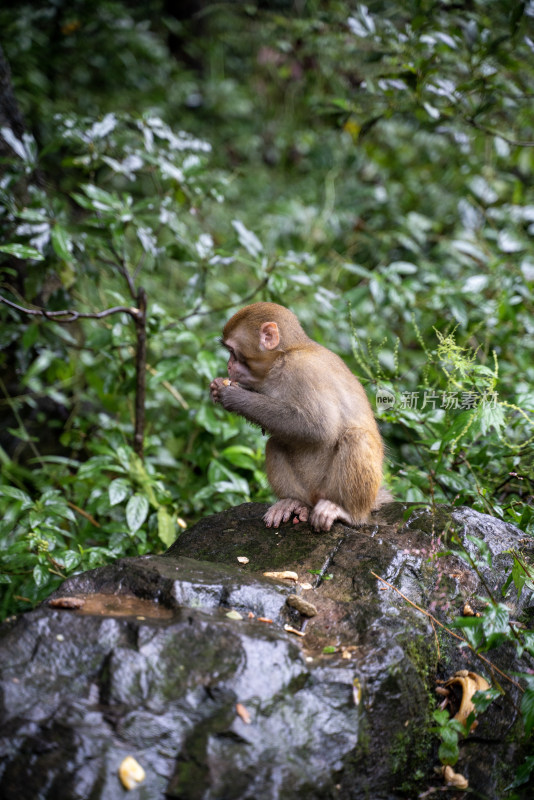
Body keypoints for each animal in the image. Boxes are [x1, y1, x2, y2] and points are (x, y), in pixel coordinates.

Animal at [211, 300, 392, 532]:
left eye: (233, 352)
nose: (228, 365)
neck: (284, 355)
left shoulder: (304, 370)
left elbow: (319, 428)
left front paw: (233, 396)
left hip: (333, 490)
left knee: (356, 437)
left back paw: (347, 513)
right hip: (308, 491)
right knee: (276, 442)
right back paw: (294, 503)